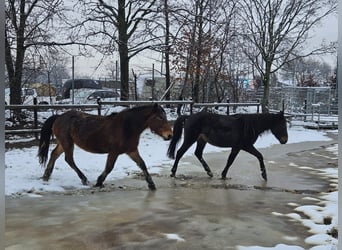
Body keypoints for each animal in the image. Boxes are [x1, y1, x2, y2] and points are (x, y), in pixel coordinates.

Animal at [37, 103, 172, 189]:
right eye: (159, 117)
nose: (169, 135)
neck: (127, 127)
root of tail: (59, 117)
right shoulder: (114, 152)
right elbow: (109, 167)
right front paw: (98, 182)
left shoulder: (132, 150)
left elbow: (142, 164)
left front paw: (151, 184)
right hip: (67, 143)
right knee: (69, 159)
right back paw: (84, 179)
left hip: (63, 143)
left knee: (54, 154)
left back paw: (46, 176)